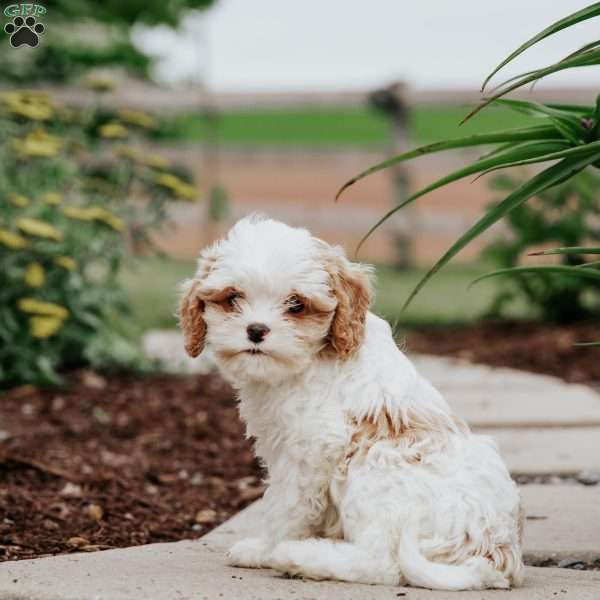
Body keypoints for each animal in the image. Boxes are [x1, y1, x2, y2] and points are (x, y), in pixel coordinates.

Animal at [177, 216, 520, 592]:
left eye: (295, 304)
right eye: (233, 297)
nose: (256, 330)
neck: (310, 360)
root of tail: (494, 554)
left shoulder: (309, 450)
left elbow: (284, 505)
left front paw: (262, 549)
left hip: (373, 468)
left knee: (380, 563)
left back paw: (297, 557)